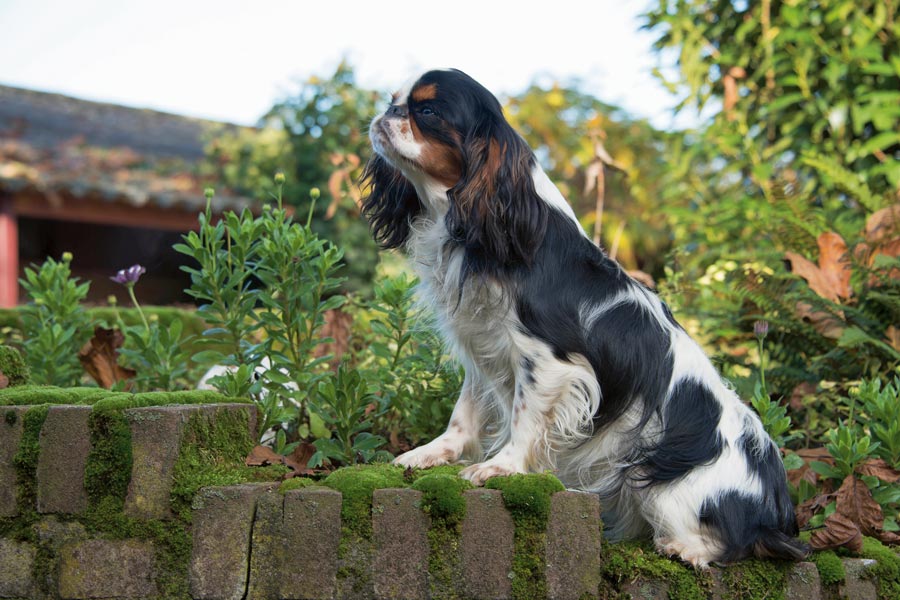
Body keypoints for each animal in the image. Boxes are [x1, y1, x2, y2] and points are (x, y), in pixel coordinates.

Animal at [358, 69, 808, 568]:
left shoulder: (548, 362)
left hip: (660, 484)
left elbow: (524, 416)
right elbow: (465, 413)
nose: (387, 113)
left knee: (726, 542)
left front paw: (502, 466)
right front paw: (433, 454)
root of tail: (774, 511)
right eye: (394, 100)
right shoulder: (484, 346)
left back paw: (684, 548)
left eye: (428, 111)